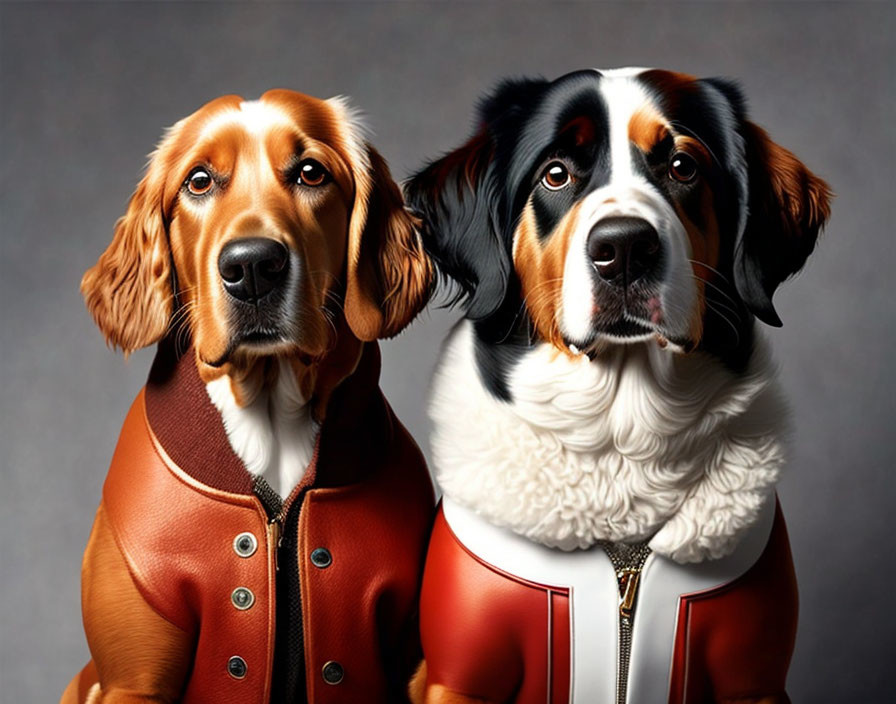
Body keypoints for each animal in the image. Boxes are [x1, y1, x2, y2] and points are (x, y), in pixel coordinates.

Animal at [406, 70, 832, 704]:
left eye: (682, 166)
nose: (625, 247)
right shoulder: (460, 677)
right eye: (556, 173)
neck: (623, 437)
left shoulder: (752, 678)